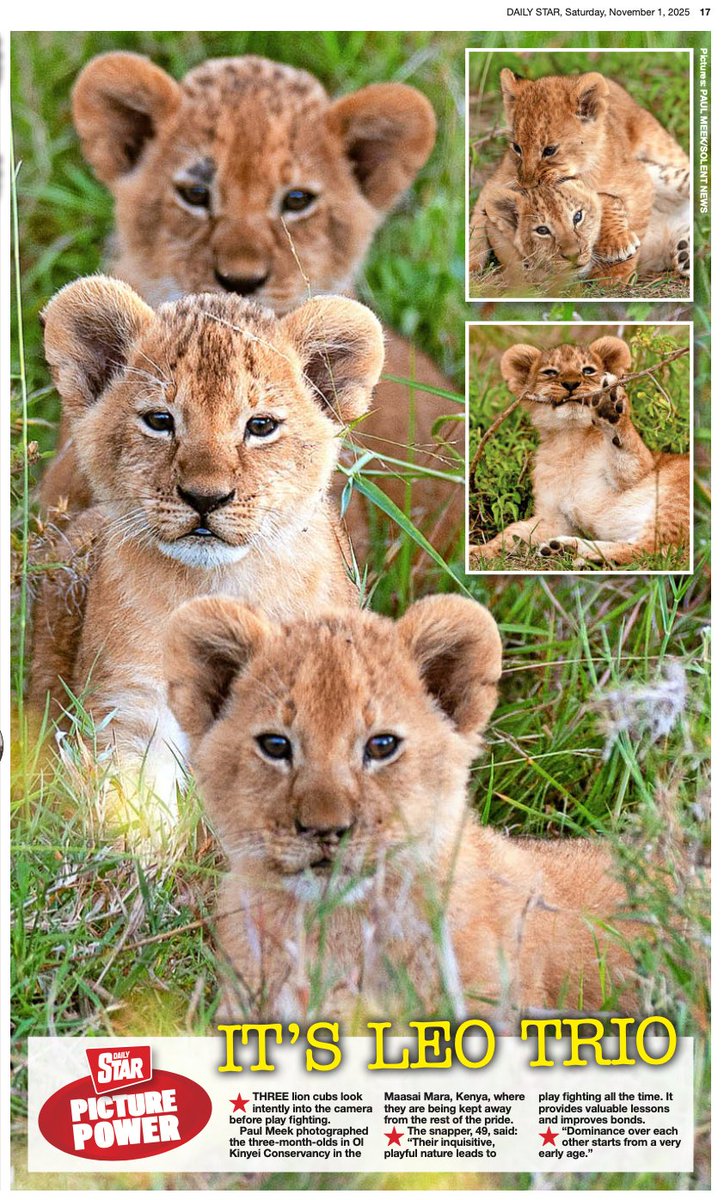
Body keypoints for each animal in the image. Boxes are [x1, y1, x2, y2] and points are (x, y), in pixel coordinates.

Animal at [29, 275, 384, 817]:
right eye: (160, 420)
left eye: (260, 426)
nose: (205, 497)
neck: (218, 581)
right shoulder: (128, 709)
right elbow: (133, 809)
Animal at [469, 337, 690, 569]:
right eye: (550, 372)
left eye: (588, 370)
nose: (571, 384)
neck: (569, 442)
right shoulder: (556, 519)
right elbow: (513, 533)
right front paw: (477, 551)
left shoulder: (640, 471)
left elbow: (628, 452)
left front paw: (610, 406)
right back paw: (562, 548)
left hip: (676, 497)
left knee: (651, 550)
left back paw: (584, 555)